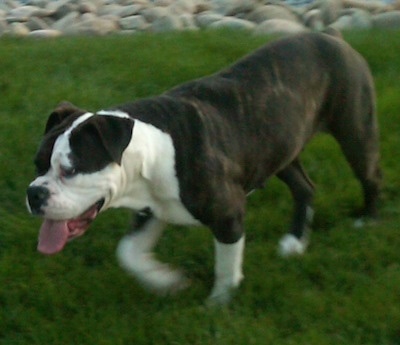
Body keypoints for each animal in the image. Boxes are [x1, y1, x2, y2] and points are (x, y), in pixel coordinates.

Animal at [25, 30, 382, 304]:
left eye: (70, 169)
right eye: (38, 164)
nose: (34, 194)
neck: (149, 152)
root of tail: (334, 37)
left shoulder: (228, 215)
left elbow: (226, 267)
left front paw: (218, 305)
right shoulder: (151, 209)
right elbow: (128, 252)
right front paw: (166, 281)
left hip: (355, 129)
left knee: (371, 175)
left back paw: (368, 219)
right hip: (281, 149)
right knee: (305, 187)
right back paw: (295, 242)